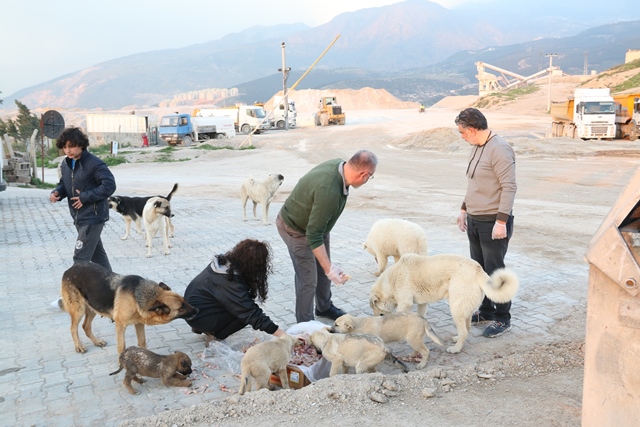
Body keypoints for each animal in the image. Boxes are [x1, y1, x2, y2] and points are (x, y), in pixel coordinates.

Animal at [60, 262, 200, 356]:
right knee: (73, 328)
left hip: (92, 308)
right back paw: (79, 346)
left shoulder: (139, 323)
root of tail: (70, 268)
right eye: (181, 307)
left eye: (185, 301)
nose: (198, 310)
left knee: (85, 326)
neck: (139, 296)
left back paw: (97, 341)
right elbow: (122, 346)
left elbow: (142, 342)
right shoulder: (120, 325)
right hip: (79, 310)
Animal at [370, 254, 520, 354]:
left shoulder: (404, 304)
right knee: (466, 328)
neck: (391, 281)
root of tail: (478, 269)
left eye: (375, 309)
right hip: (463, 309)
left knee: (464, 332)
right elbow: (420, 316)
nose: (375, 318)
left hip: (455, 308)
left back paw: (456, 349)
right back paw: (457, 339)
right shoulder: (422, 304)